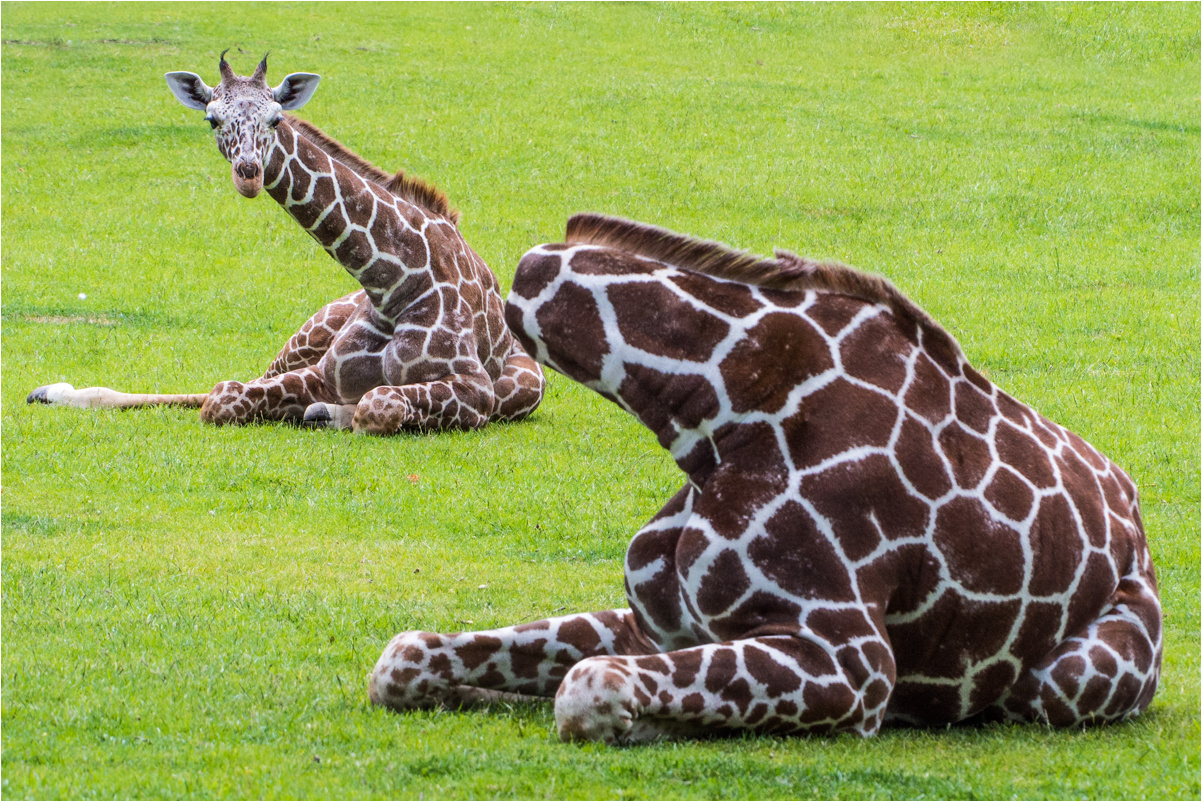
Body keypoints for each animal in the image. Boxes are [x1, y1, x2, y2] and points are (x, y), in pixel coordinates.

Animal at [25, 52, 543, 435]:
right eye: (212, 120)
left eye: (275, 118)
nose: (249, 174)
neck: (391, 281)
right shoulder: (320, 374)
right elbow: (222, 397)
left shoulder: (476, 390)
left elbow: (378, 404)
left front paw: (333, 413)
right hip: (305, 337)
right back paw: (51, 391)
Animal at [370, 215, 1158, 745]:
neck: (721, 419)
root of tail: (1134, 518)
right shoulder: (656, 626)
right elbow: (402, 658)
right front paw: (477, 695)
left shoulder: (852, 660)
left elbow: (588, 689)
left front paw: (651, 726)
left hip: (1068, 681)